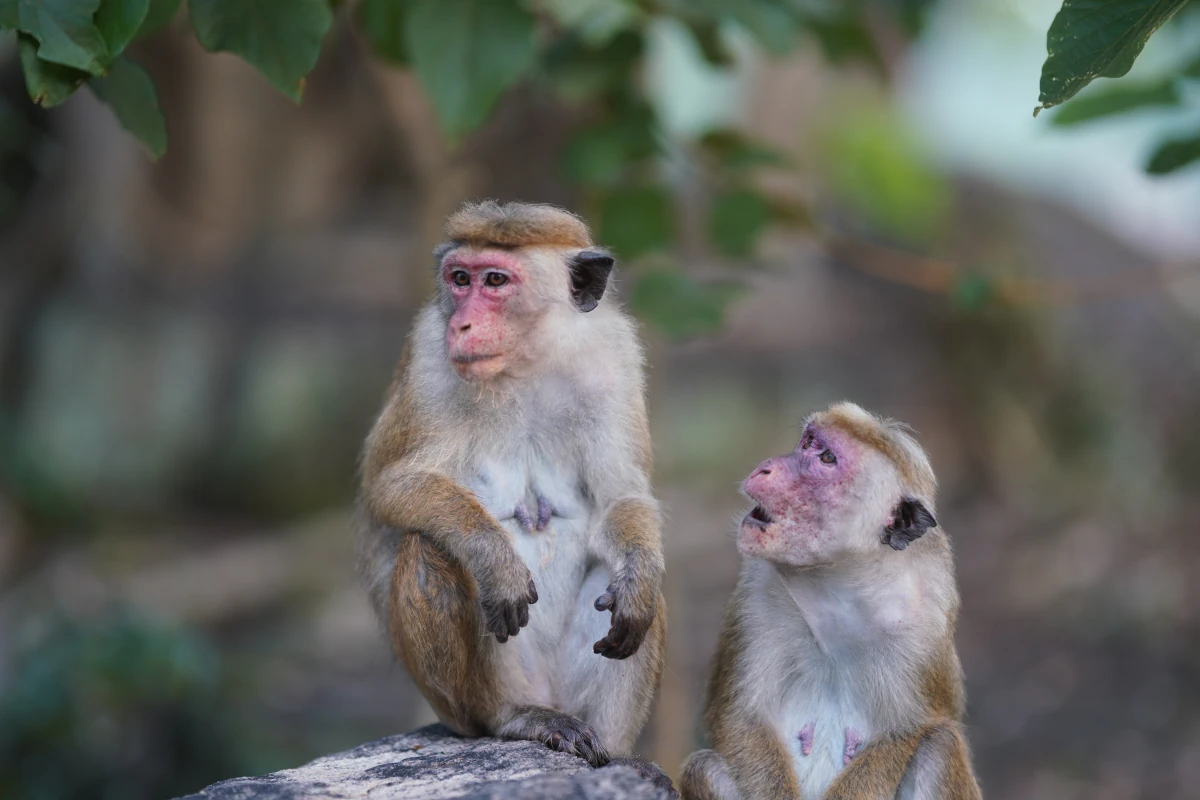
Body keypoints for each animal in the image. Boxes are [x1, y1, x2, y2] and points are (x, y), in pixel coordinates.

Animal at [355, 199, 676, 786]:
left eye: (496, 281)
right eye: (460, 279)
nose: (462, 322)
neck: (525, 364)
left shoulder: (613, 357)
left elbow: (622, 496)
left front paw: (639, 579)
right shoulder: (429, 358)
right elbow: (391, 487)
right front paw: (493, 557)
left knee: (617, 578)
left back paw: (617, 756)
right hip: (464, 703)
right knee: (429, 549)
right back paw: (514, 718)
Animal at [681, 402, 979, 800]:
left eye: (826, 458)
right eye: (807, 442)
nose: (766, 467)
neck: (839, 584)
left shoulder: (925, 622)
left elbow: (907, 731)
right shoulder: (756, 596)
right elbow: (742, 716)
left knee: (940, 746)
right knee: (704, 768)